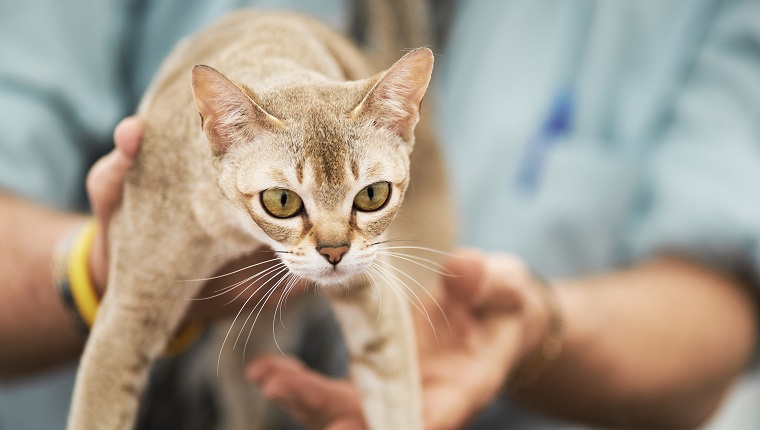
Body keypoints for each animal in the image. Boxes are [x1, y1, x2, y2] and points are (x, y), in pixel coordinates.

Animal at [65, 6, 452, 430]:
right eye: (282, 201)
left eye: (372, 195)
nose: (335, 252)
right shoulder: (126, 318)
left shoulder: (375, 291)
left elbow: (397, 402)